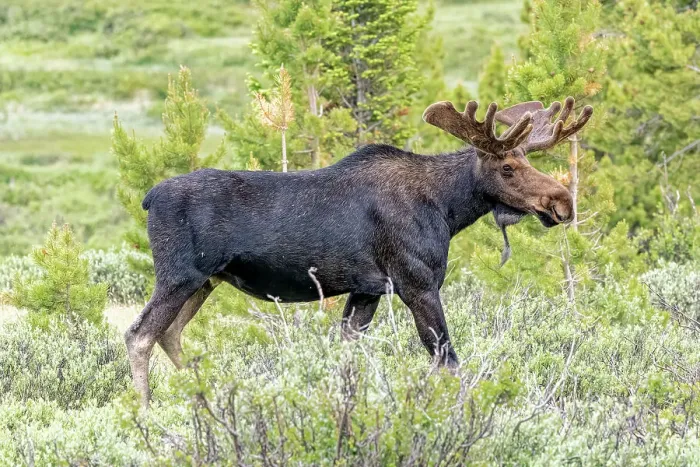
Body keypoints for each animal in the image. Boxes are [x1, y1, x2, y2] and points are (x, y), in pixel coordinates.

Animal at [125, 96, 592, 407]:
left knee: (170, 333)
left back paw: (202, 396)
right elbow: (448, 360)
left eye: (528, 162)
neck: (447, 208)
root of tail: (148, 198)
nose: (562, 203)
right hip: (179, 275)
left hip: (205, 281)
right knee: (140, 335)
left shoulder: (366, 289)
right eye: (508, 167)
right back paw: (147, 411)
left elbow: (348, 352)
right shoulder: (416, 282)